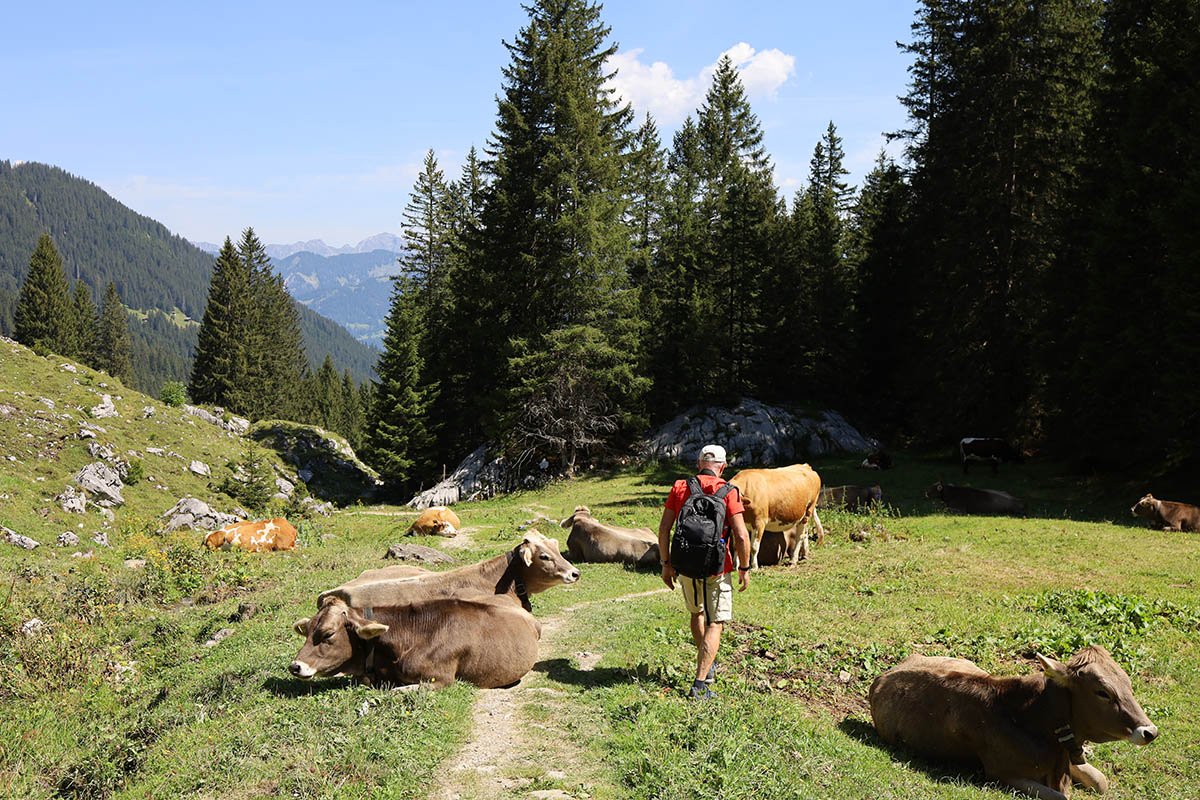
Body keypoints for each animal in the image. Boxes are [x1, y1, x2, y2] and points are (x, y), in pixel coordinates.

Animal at [868, 642, 1156, 800]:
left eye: (1128, 683)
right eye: (1102, 692)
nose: (1150, 731)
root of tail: (884, 674)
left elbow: (1101, 782)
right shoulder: (1001, 773)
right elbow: (1060, 797)